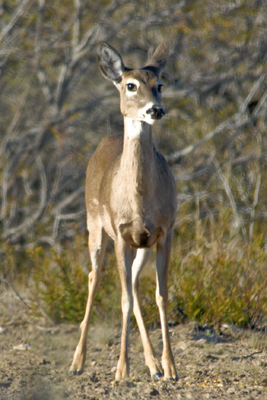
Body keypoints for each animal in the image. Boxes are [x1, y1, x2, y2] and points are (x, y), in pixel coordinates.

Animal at [69, 40, 178, 382]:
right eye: (130, 85)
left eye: (159, 84)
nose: (155, 109)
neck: (141, 201)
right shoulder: (120, 233)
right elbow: (123, 298)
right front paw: (121, 371)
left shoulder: (165, 231)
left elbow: (161, 295)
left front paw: (170, 368)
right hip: (94, 225)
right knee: (94, 276)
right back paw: (77, 362)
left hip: (140, 245)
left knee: (134, 282)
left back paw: (153, 365)